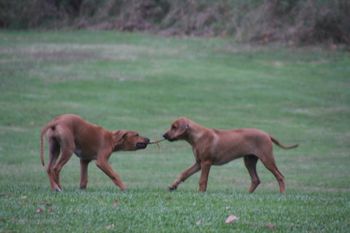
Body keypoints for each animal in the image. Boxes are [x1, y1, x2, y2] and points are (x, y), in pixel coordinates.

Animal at [163, 118, 296, 193]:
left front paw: (201, 193)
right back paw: (247, 194)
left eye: (174, 127)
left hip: (267, 159)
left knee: (280, 176)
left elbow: (202, 180)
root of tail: (267, 134)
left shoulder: (206, 162)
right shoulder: (198, 163)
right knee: (255, 179)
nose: (163, 135)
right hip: (249, 161)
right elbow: (184, 173)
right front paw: (173, 186)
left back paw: (282, 193)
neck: (198, 136)